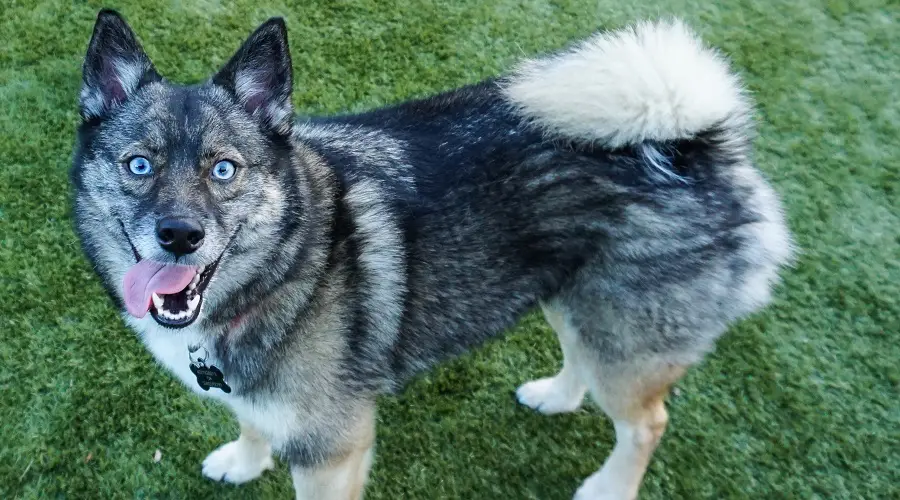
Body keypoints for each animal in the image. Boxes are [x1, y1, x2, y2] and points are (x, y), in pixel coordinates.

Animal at [70, 8, 792, 500]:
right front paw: (245, 463)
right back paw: (556, 396)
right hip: (576, 299)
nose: (179, 235)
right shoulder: (262, 401)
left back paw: (608, 489)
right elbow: (252, 424)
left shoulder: (333, 450)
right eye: (138, 165)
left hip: (625, 338)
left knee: (647, 423)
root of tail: (694, 144)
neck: (293, 263)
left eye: (224, 170)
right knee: (584, 361)